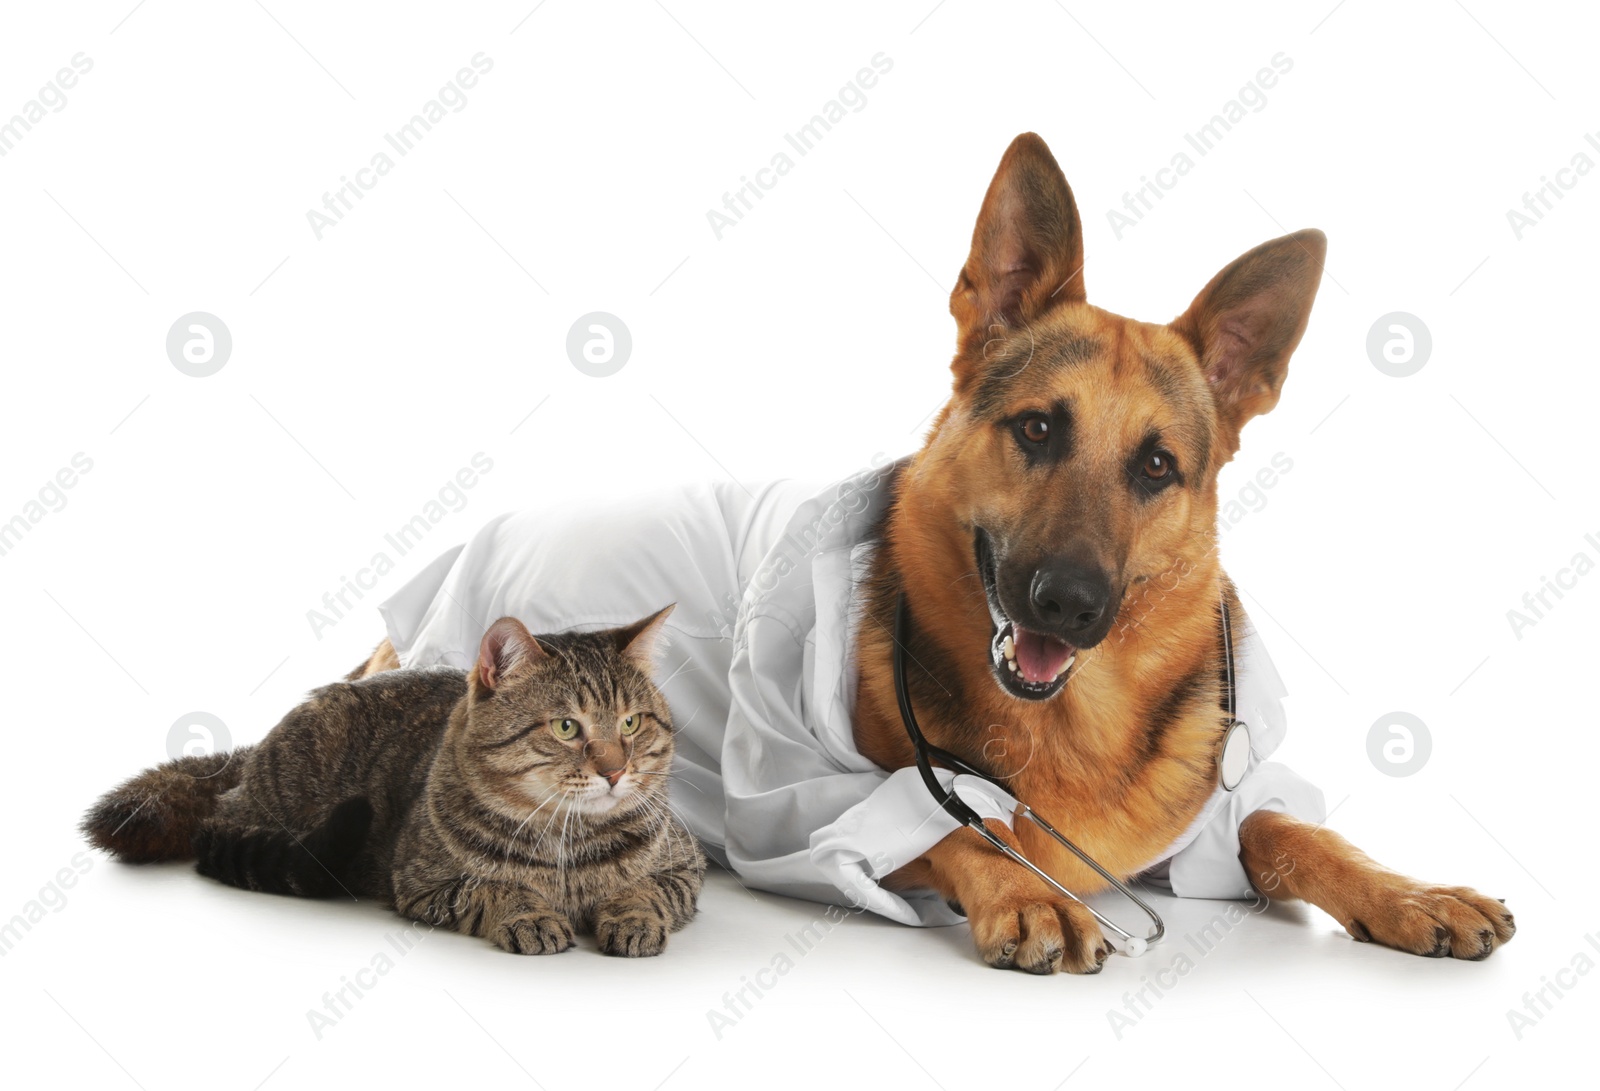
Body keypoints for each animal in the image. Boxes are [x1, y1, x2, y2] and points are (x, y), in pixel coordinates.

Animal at [82, 607, 700, 953]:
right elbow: (494, 887)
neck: (571, 841)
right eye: (567, 727)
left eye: (631, 723)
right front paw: (528, 913)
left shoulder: (686, 867)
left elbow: (648, 888)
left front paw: (632, 916)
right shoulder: (423, 884)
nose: (615, 770)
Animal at [334, 129, 1510, 966]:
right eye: (1037, 428)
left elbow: (1286, 829)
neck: (1073, 724)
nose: (1068, 602)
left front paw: (1410, 892)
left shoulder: (1224, 808)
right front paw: (1027, 889)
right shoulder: (799, 807)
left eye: (1156, 466)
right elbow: (949, 826)